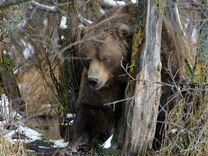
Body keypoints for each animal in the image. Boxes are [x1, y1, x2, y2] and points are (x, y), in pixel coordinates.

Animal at [72, 3, 183, 150]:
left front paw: (157, 141)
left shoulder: (165, 63)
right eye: (87, 58)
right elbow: (94, 106)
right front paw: (76, 141)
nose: (93, 80)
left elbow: (162, 105)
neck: (121, 72)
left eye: (104, 58)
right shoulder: (106, 83)